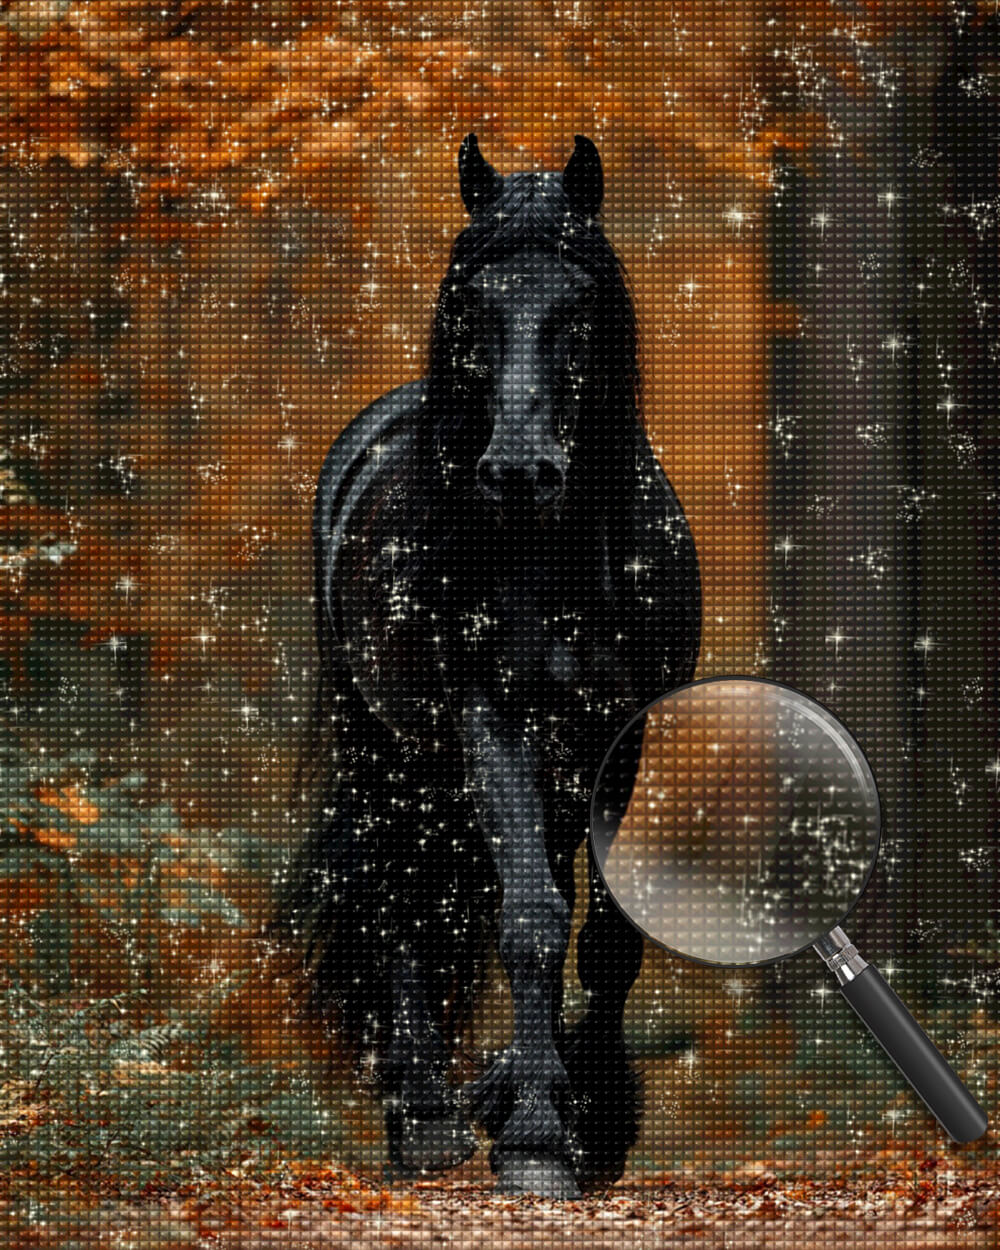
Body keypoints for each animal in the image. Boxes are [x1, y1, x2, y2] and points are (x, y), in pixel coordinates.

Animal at [266, 133, 701, 1199]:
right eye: (471, 305)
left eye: (576, 308)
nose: (516, 471)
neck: (557, 557)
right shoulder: (488, 722)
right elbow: (531, 920)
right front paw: (539, 1136)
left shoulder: (614, 738)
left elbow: (604, 935)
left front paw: (588, 1123)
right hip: (392, 756)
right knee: (396, 900)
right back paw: (424, 1118)